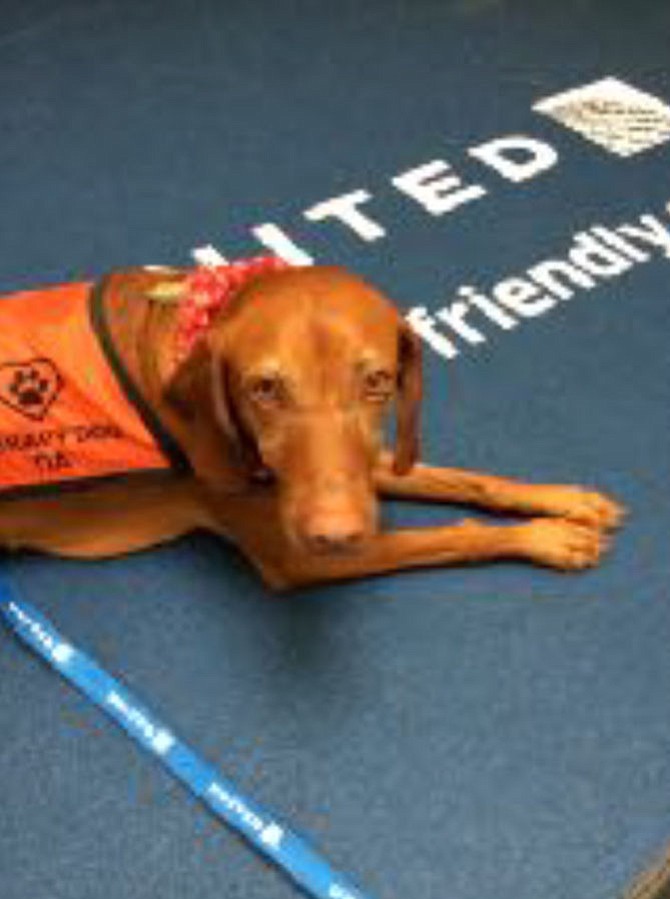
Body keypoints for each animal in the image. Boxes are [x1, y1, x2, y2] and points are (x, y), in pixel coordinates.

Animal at [0, 260, 624, 592]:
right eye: (263, 388)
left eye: (377, 381)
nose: (336, 533)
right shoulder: (295, 555)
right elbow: (455, 534)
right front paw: (546, 537)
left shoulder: (360, 465)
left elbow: (468, 480)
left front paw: (564, 501)